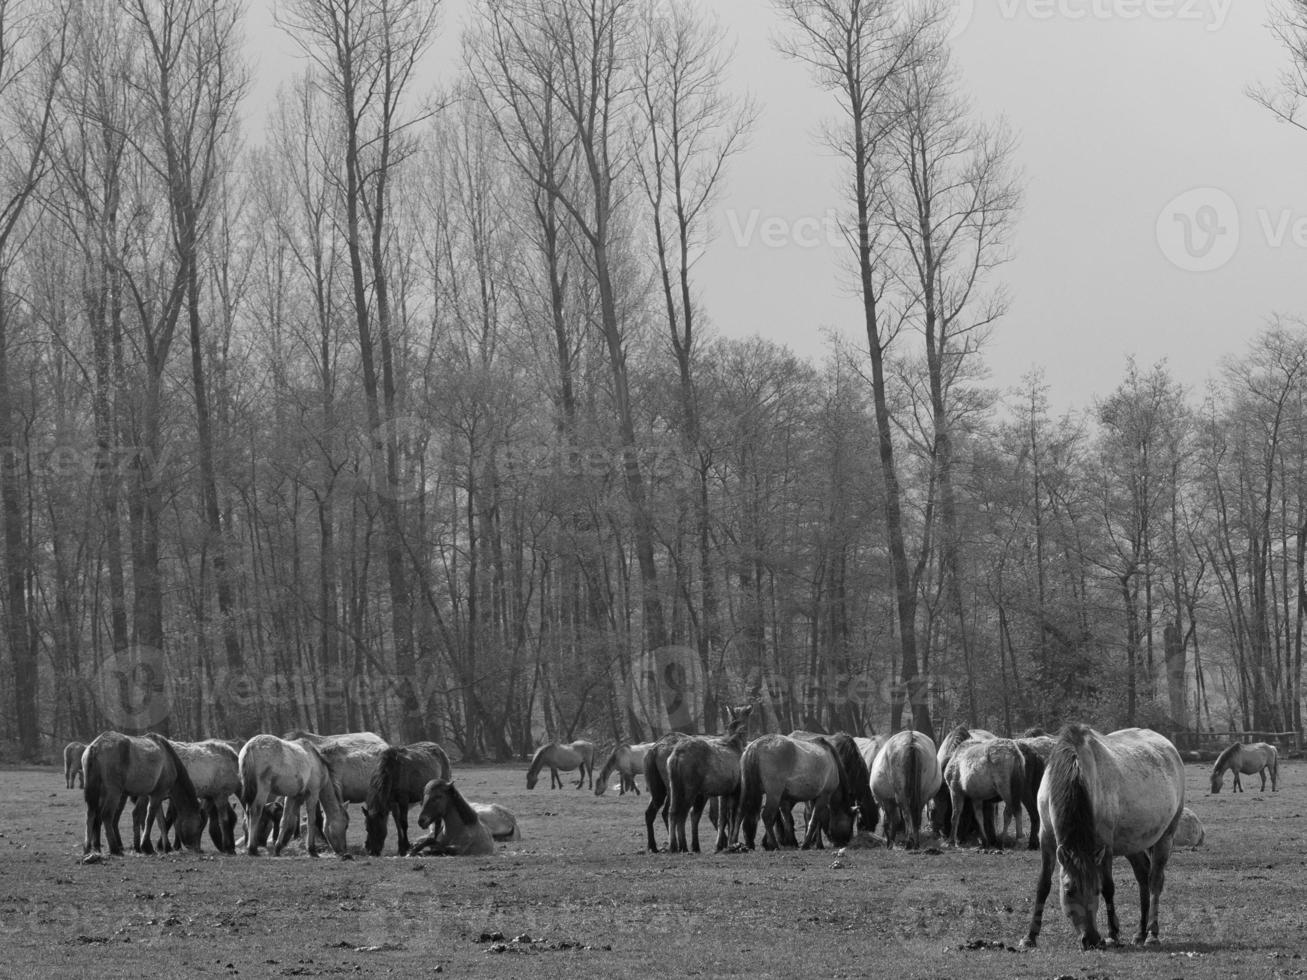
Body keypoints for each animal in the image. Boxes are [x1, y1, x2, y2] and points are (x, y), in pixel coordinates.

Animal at [663, 705, 758, 851]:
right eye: (749, 718)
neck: (738, 743)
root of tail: (676, 756)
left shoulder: (725, 792)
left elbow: (723, 818)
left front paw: (721, 844)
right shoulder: (737, 789)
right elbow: (735, 816)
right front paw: (732, 842)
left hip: (674, 787)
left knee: (672, 812)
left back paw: (675, 846)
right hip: (691, 789)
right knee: (682, 815)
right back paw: (684, 846)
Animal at [1019, 726, 1186, 946]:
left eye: (1095, 890)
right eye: (1069, 891)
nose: (1090, 939)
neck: (1076, 770)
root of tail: (1170, 748)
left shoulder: (1104, 845)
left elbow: (1109, 887)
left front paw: (1113, 935)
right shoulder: (1046, 840)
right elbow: (1043, 886)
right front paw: (1029, 936)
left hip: (1165, 837)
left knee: (1155, 881)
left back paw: (1151, 934)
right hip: (1132, 844)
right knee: (1143, 877)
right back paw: (1140, 933)